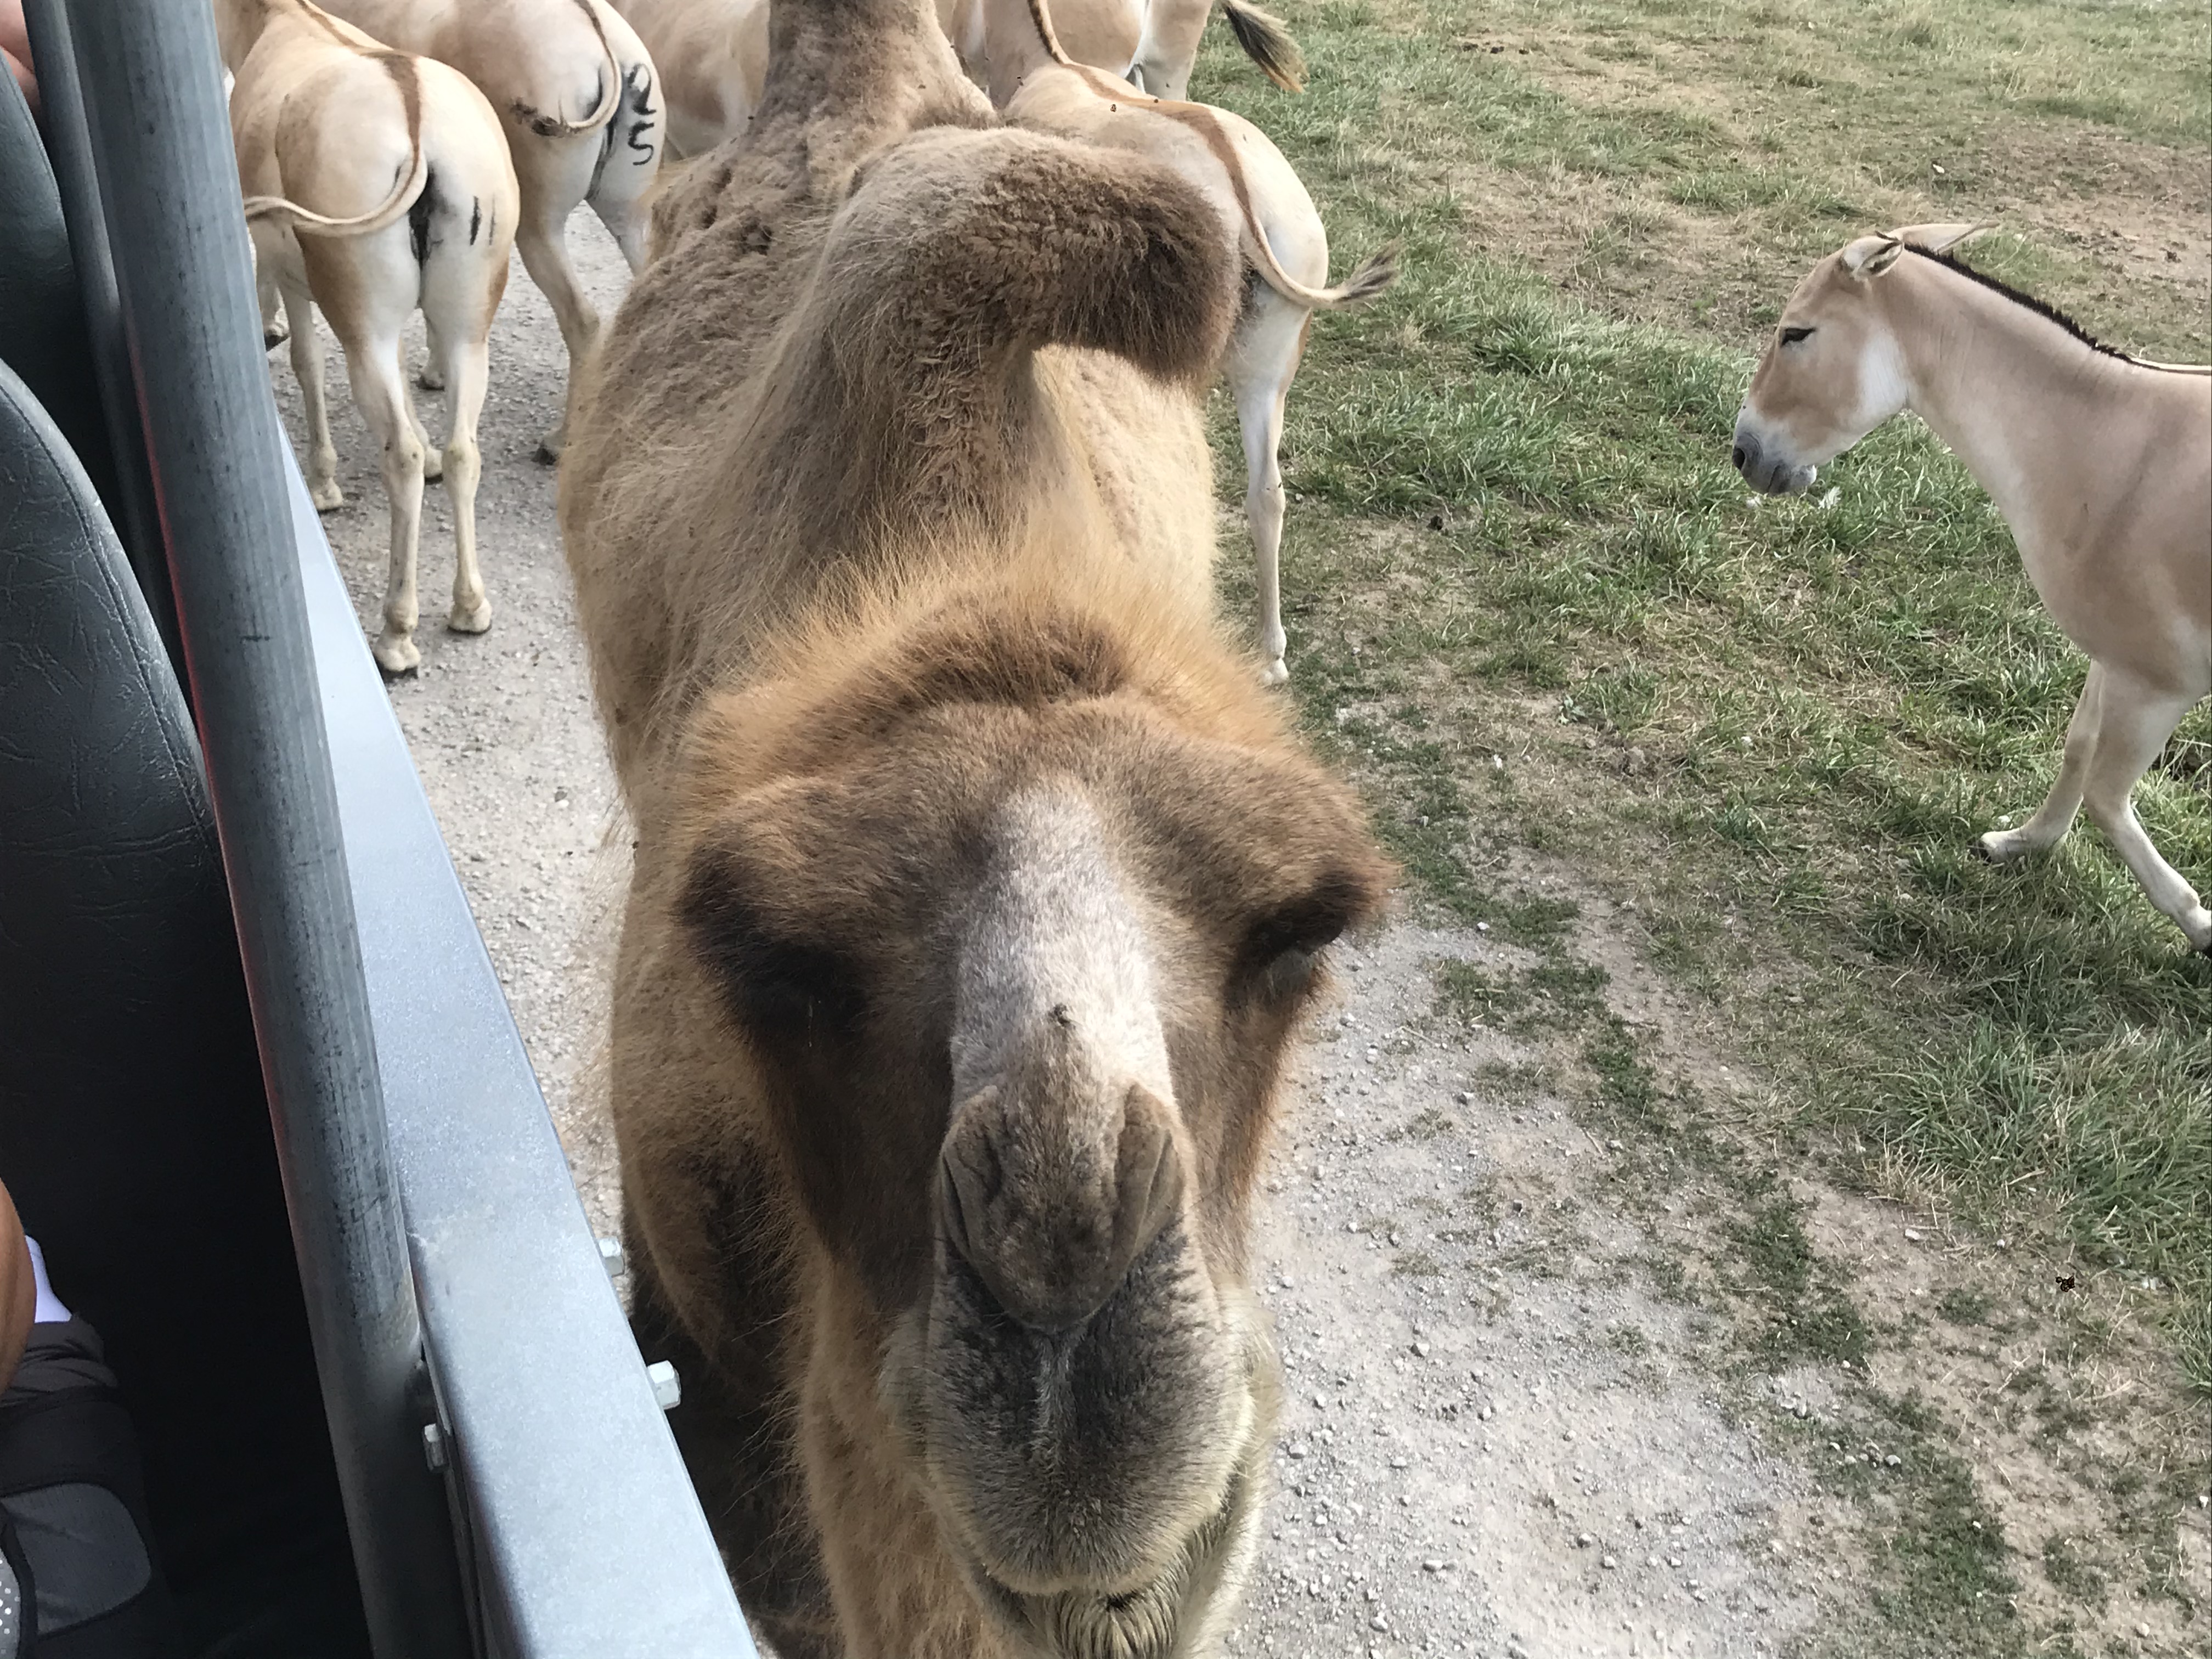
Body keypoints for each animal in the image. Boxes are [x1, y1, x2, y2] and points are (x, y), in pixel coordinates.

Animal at [219, 0, 521, 676]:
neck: (284, 21)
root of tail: (416, 126)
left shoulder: (295, 279)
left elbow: (305, 362)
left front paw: (324, 485)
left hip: (363, 326)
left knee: (399, 455)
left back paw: (396, 635)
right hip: (467, 332)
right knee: (464, 450)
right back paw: (471, 608)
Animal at [310, 0, 662, 458]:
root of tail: (594, 31)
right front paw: (437, 373)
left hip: (538, 227)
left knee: (582, 320)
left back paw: (560, 442)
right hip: (628, 213)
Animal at [1735, 224, 2212, 952]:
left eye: (1796, 333)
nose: (1744, 453)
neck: (2112, 451)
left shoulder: (2157, 684)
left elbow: (2106, 797)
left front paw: (2199, 923)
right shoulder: (2115, 661)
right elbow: (2078, 752)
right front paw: (2024, 843)